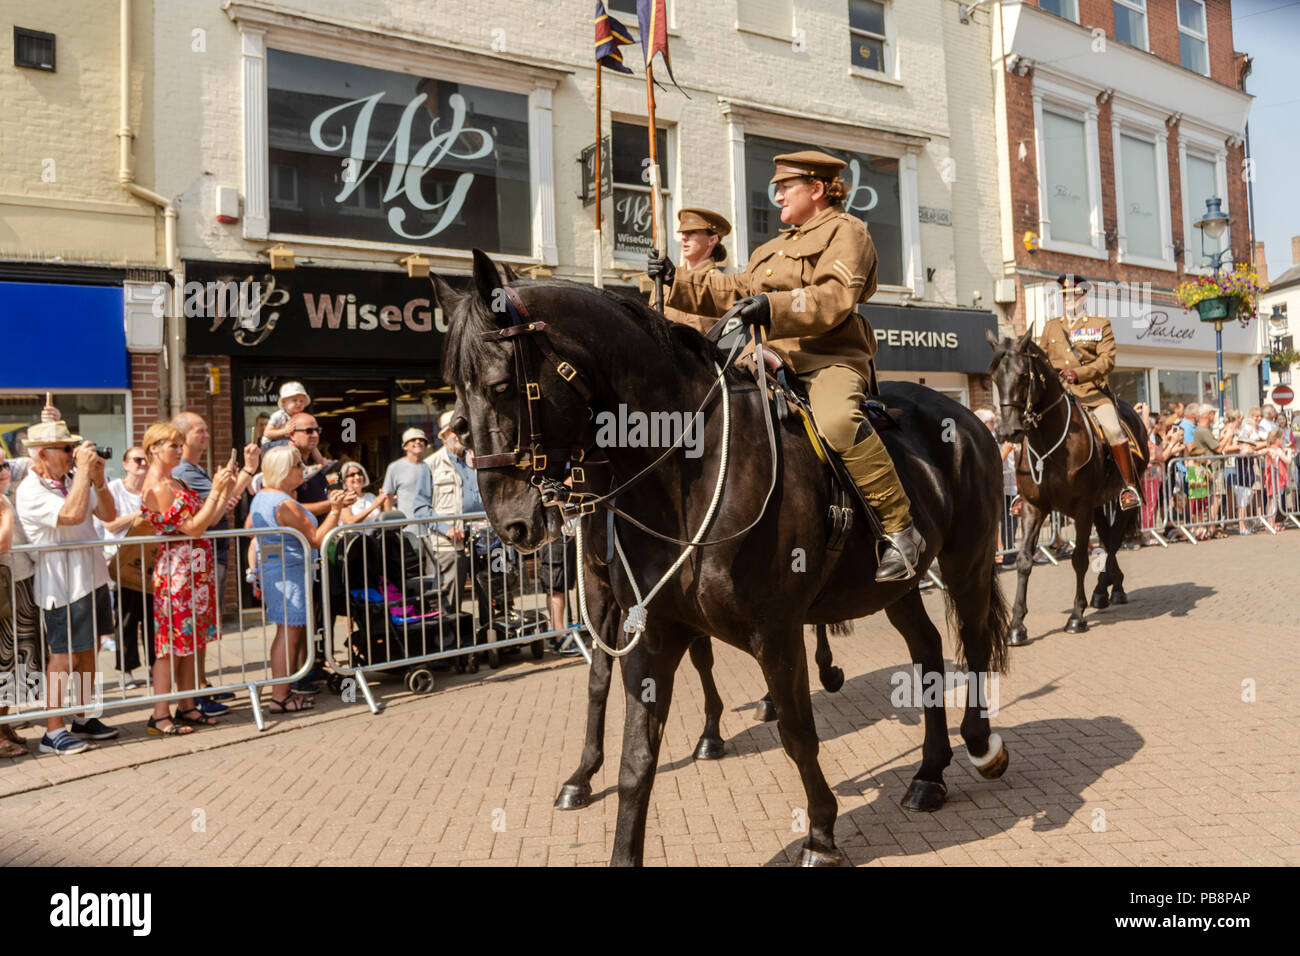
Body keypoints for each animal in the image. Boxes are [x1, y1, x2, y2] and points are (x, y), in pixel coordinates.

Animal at [441, 254, 1008, 868]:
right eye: (455, 399)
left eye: (500, 385)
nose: (509, 522)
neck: (691, 469)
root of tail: (967, 418)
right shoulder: (649, 631)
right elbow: (634, 752)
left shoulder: (776, 632)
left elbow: (797, 734)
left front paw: (821, 836)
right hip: (891, 588)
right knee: (928, 652)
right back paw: (929, 774)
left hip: (968, 564)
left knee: (974, 644)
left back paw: (981, 745)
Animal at [982, 327, 1149, 642]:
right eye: (995, 377)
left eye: (1023, 375)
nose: (1007, 431)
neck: (1049, 442)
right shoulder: (1033, 508)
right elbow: (1024, 560)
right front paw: (1017, 625)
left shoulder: (1081, 508)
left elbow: (1080, 558)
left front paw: (1076, 616)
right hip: (1098, 504)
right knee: (1107, 538)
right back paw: (1109, 589)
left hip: (1120, 500)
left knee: (1114, 539)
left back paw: (1105, 590)